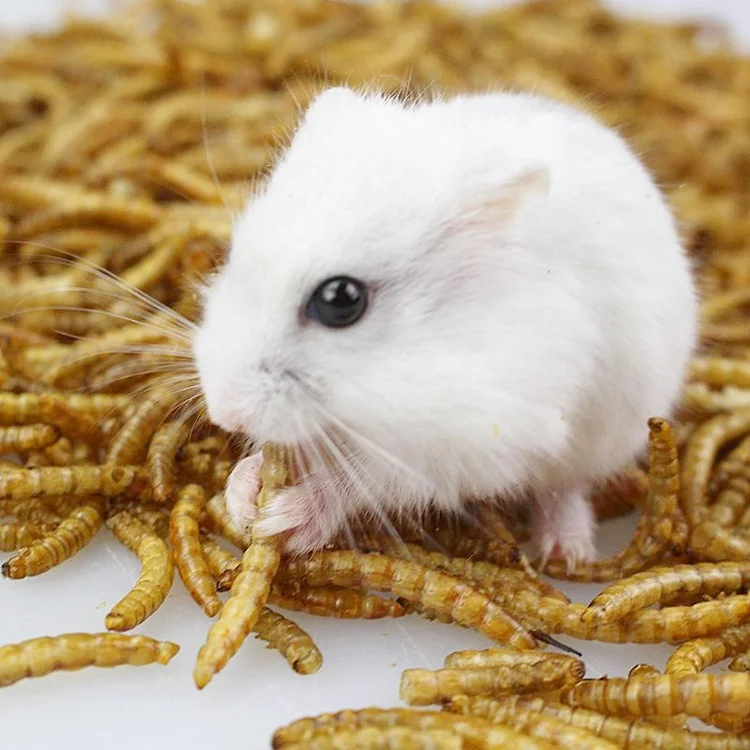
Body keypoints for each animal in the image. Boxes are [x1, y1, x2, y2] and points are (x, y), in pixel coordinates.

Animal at [193, 86, 697, 566]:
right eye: (234, 254)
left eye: (341, 301)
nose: (224, 413)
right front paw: (241, 493)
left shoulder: (466, 442)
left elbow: (364, 478)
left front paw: (286, 518)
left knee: (566, 487)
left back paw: (565, 553)